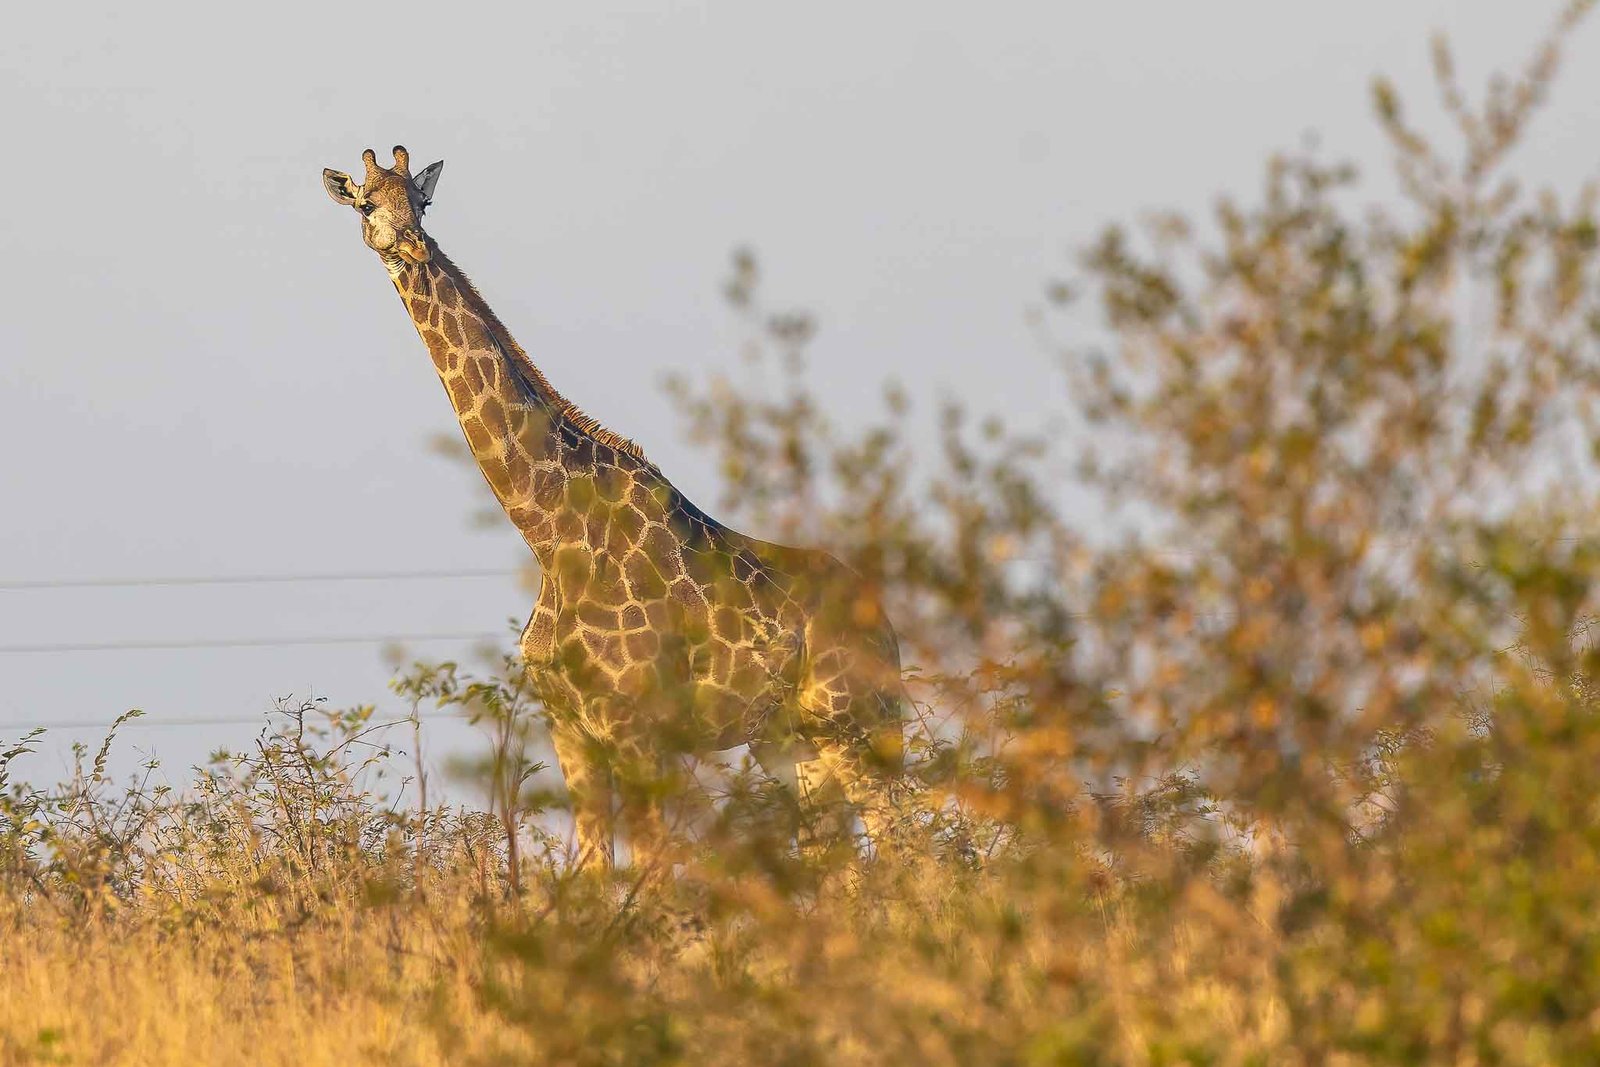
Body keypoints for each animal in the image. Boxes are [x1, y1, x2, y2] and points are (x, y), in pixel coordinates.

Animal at [324, 147, 905, 869]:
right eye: (367, 204)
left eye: (422, 203)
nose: (410, 245)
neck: (550, 532)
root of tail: (888, 626)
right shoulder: (570, 730)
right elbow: (595, 873)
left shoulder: (639, 730)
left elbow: (658, 867)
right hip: (792, 738)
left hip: (854, 720)